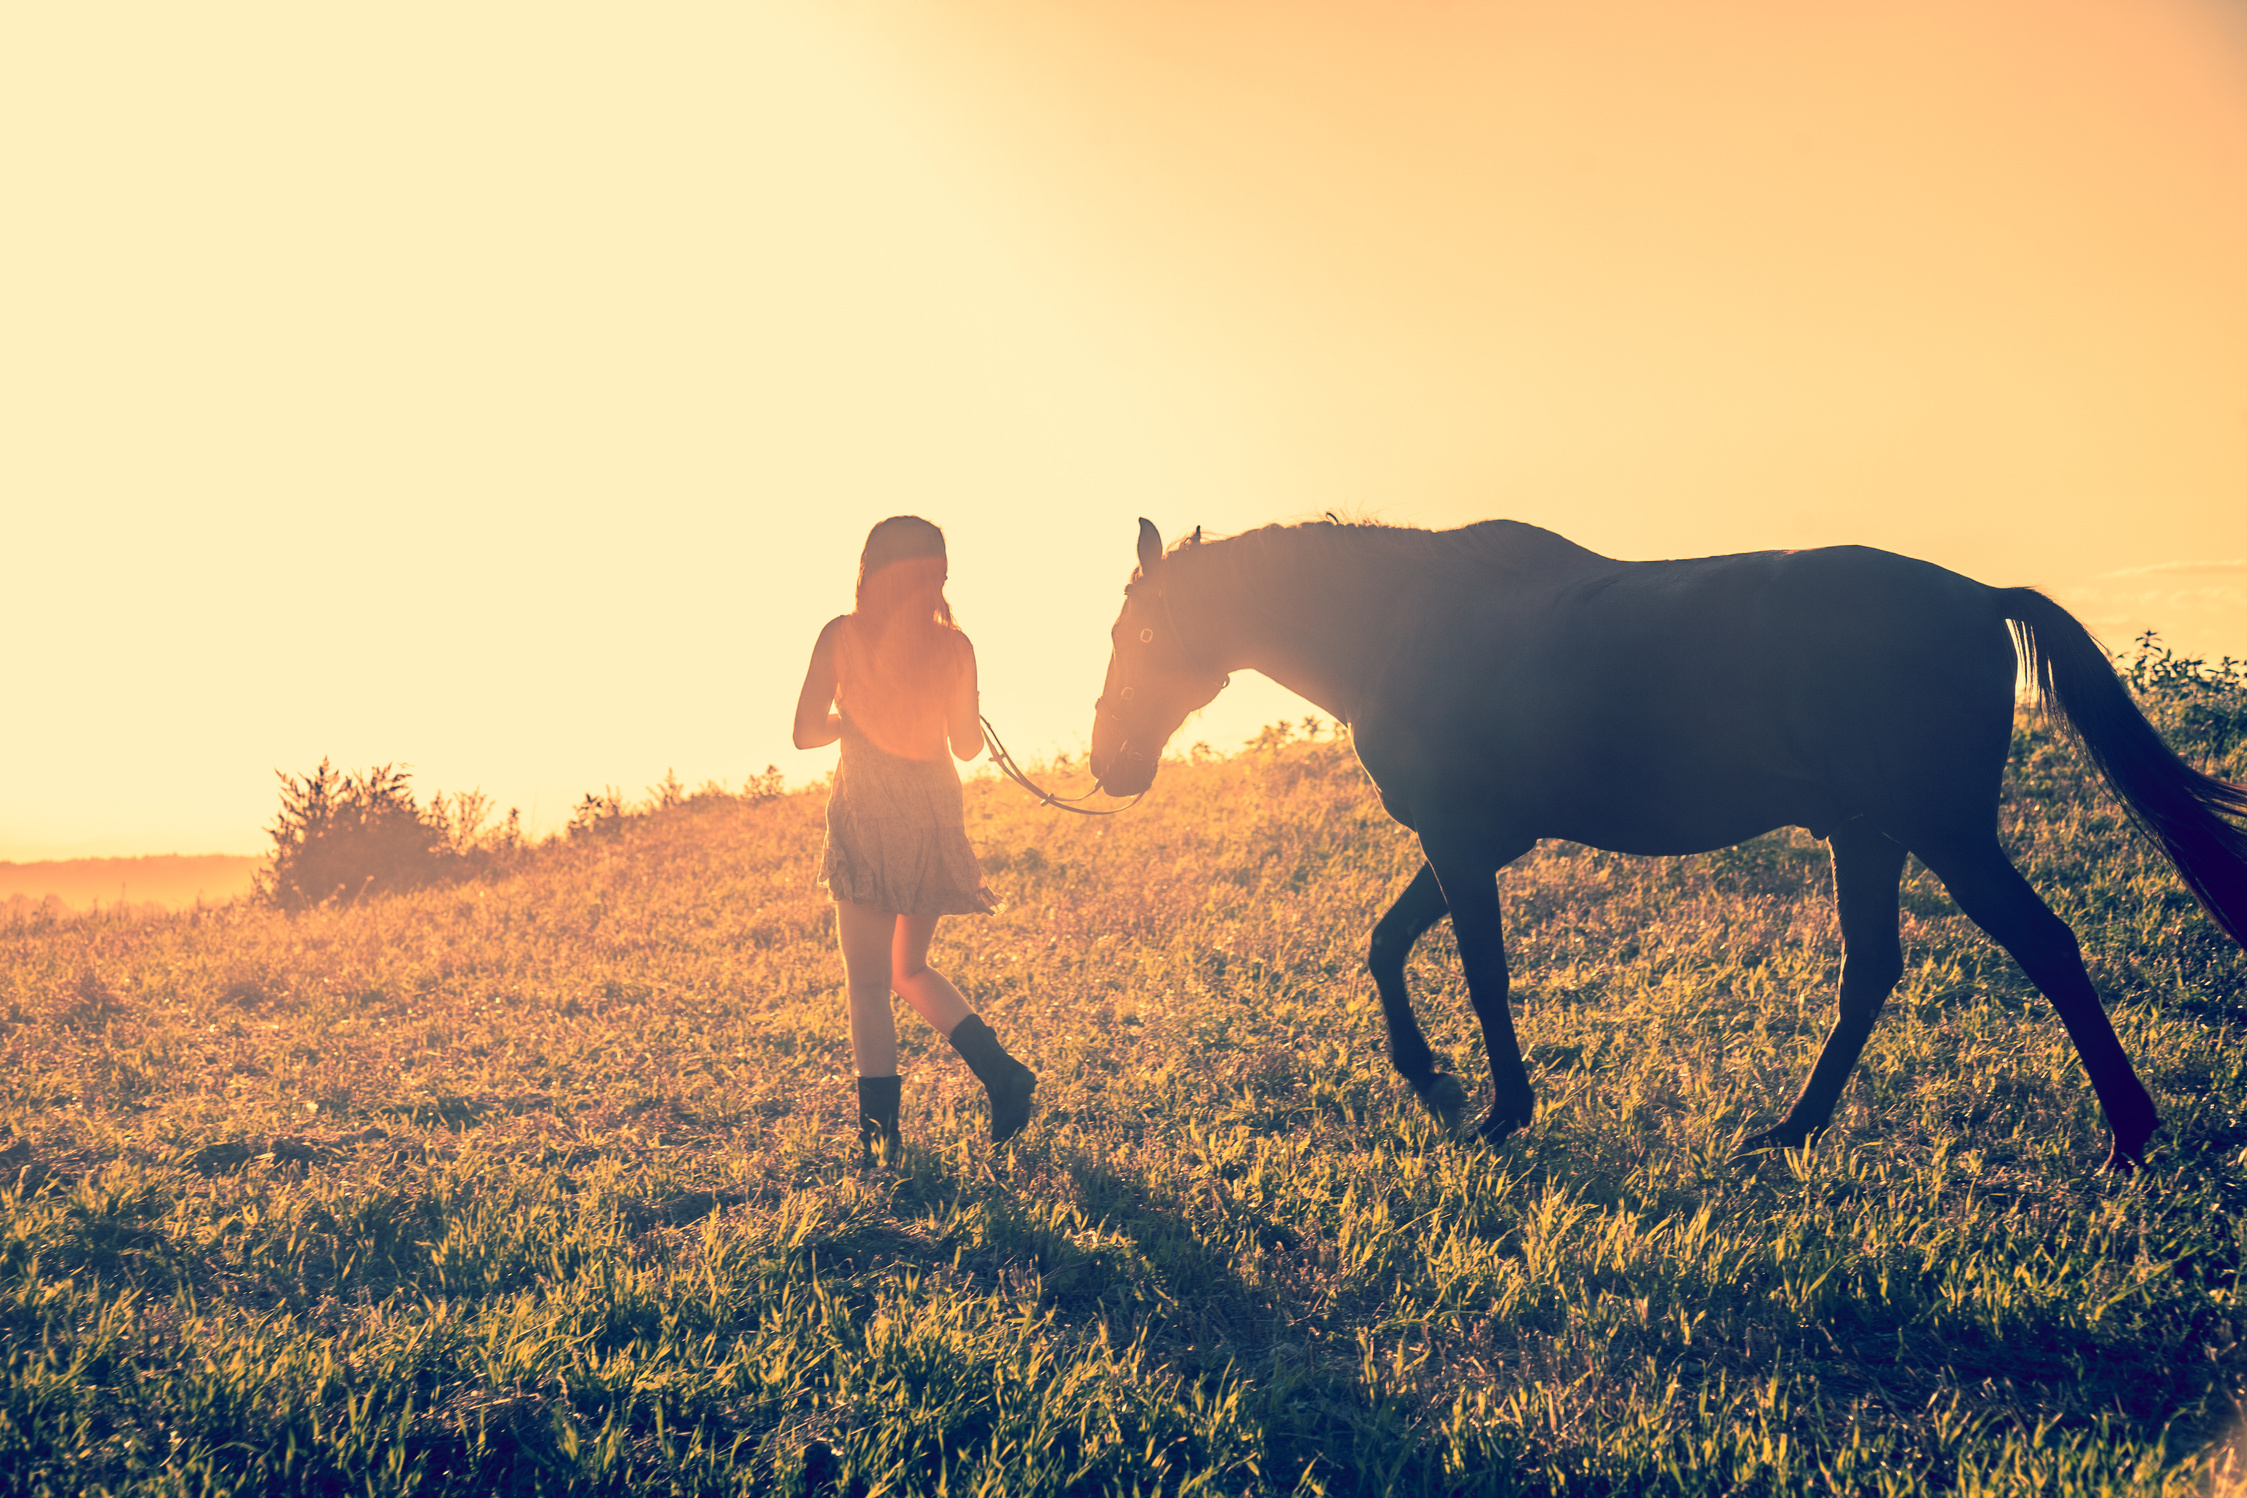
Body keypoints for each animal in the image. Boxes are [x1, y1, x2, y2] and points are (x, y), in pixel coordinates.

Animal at [1086, 518, 2247, 1173]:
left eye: (1134, 634)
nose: (1107, 761)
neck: (1401, 624)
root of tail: (1977, 595)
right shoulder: (1475, 841)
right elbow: (1385, 946)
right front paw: (1436, 1082)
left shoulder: (1464, 842)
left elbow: (1479, 973)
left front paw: (1495, 1110)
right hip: (1869, 835)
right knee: (1871, 971)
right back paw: (1790, 1132)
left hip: (1944, 832)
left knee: (2045, 947)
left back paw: (2127, 1137)